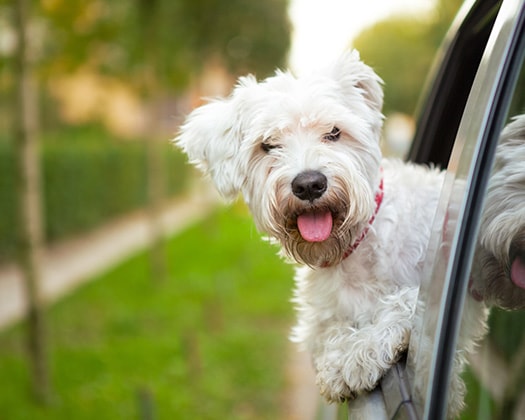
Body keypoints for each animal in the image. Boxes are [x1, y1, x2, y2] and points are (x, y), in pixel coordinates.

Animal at [174, 50, 486, 416]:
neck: (353, 248)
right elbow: (328, 333)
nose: (309, 184)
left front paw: (354, 358)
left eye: (334, 132)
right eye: (269, 145)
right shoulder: (318, 321)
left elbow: (406, 302)